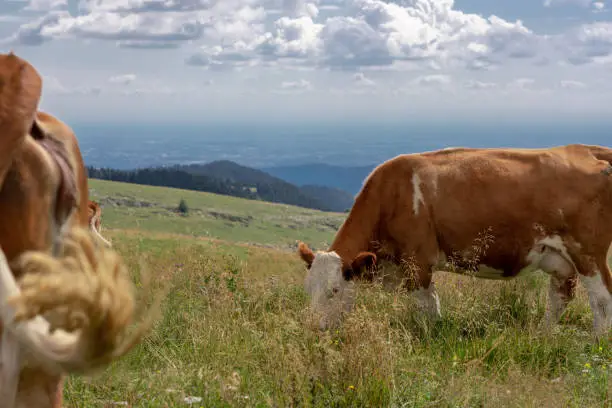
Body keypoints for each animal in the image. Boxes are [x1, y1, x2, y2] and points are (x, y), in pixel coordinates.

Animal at [296, 145, 612, 336]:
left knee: (601, 299)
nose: (314, 329)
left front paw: (431, 337)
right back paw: (541, 336)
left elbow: (428, 307)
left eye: (335, 290)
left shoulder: (417, 262)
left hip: (588, 252)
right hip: (559, 258)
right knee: (560, 296)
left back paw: (596, 342)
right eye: (308, 289)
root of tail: (585, 149)